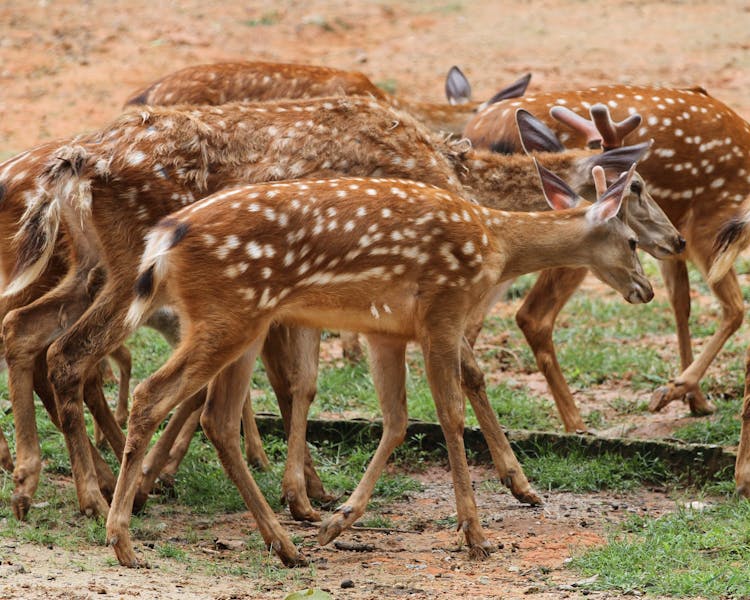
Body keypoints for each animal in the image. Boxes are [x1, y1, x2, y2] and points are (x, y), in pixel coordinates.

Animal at [5, 96, 684, 524]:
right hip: (126, 271)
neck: (456, 178)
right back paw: (97, 495)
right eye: (637, 188)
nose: (675, 240)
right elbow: (469, 370)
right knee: (71, 356)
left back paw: (40, 483)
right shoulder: (418, 287)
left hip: (92, 266)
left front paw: (309, 491)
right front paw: (520, 483)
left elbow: (298, 385)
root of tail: (76, 162)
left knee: (25, 331)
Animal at [106, 166, 652, 568]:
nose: (645, 290)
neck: (495, 246)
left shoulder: (385, 331)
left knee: (216, 420)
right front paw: (475, 534)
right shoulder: (443, 309)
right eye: (633, 241)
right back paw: (124, 542)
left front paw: (338, 521)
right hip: (227, 315)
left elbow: (396, 421)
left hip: (243, 322)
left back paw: (286, 545)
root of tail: (164, 239)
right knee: (153, 395)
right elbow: (450, 416)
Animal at [462, 83, 748, 422]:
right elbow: (734, 310)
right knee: (532, 316)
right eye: (633, 186)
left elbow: (681, 305)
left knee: (473, 324)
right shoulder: (709, 224)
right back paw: (576, 422)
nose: (677, 239)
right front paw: (675, 390)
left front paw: (694, 399)